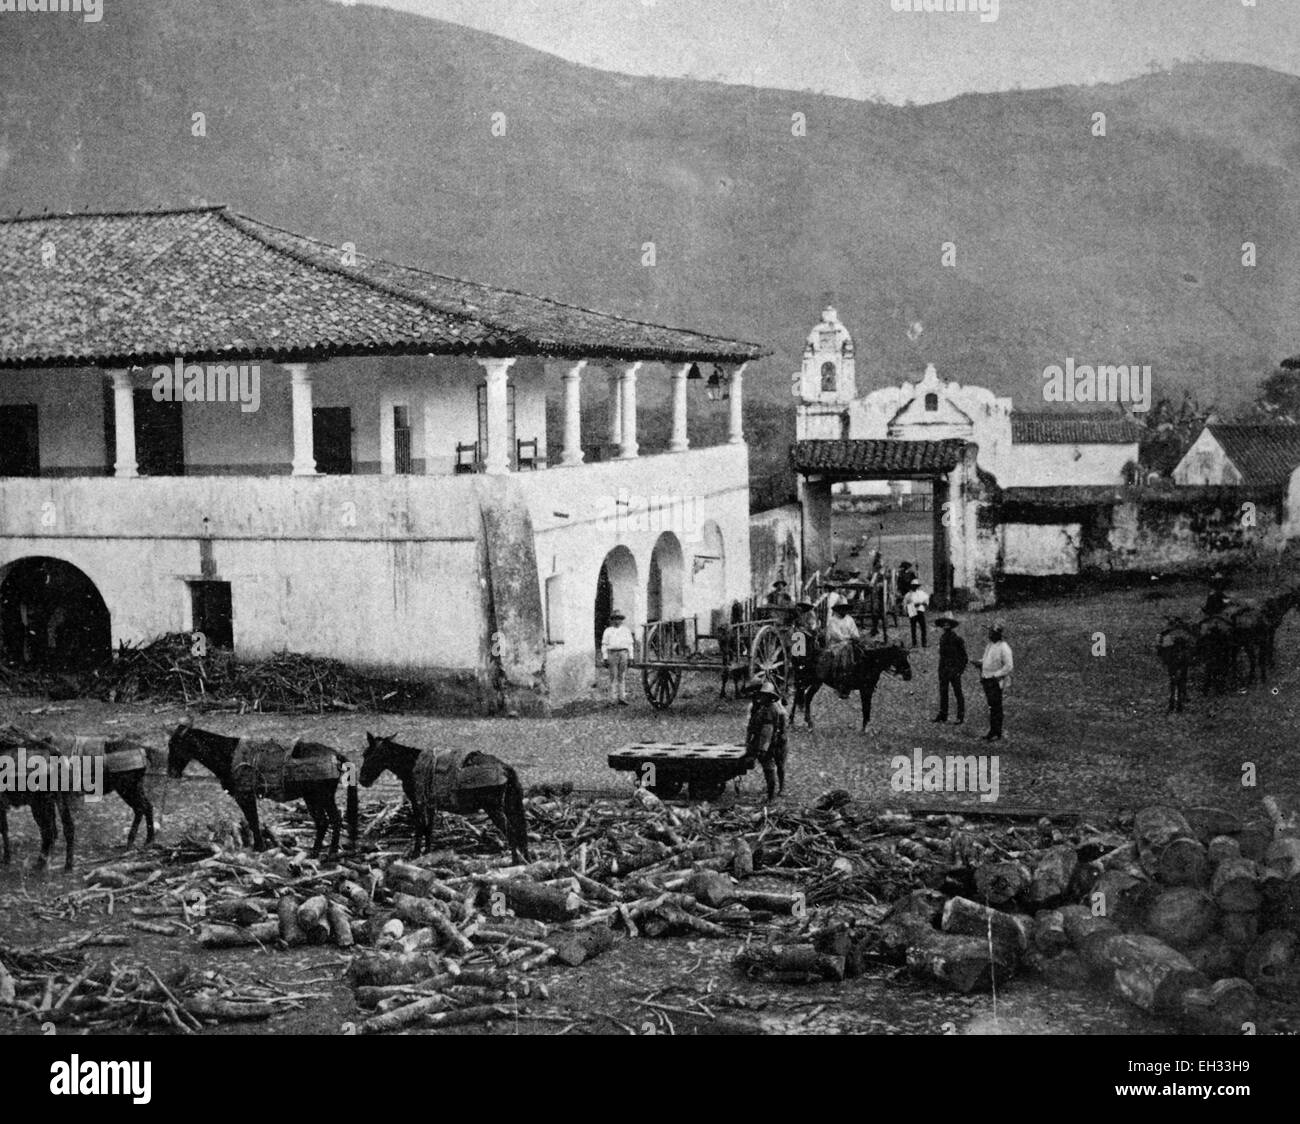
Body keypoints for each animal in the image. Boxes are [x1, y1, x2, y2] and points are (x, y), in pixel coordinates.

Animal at [170, 717, 361, 857]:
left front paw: (259, 847)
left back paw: (328, 851)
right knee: (325, 821)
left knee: (331, 819)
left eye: (174, 745)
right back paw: (319, 852)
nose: (172, 773)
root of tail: (335, 755)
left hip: (320, 797)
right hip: (314, 798)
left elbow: (253, 820)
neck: (229, 755)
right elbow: (252, 820)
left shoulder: (245, 796)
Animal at [361, 732, 527, 862]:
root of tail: (506, 768)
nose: (363, 780)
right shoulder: (430, 805)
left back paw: (515, 862)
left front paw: (416, 854)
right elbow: (428, 829)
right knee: (520, 833)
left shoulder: (417, 802)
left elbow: (420, 828)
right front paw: (427, 853)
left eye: (369, 754)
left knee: (512, 833)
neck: (411, 764)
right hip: (510, 805)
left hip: (494, 809)